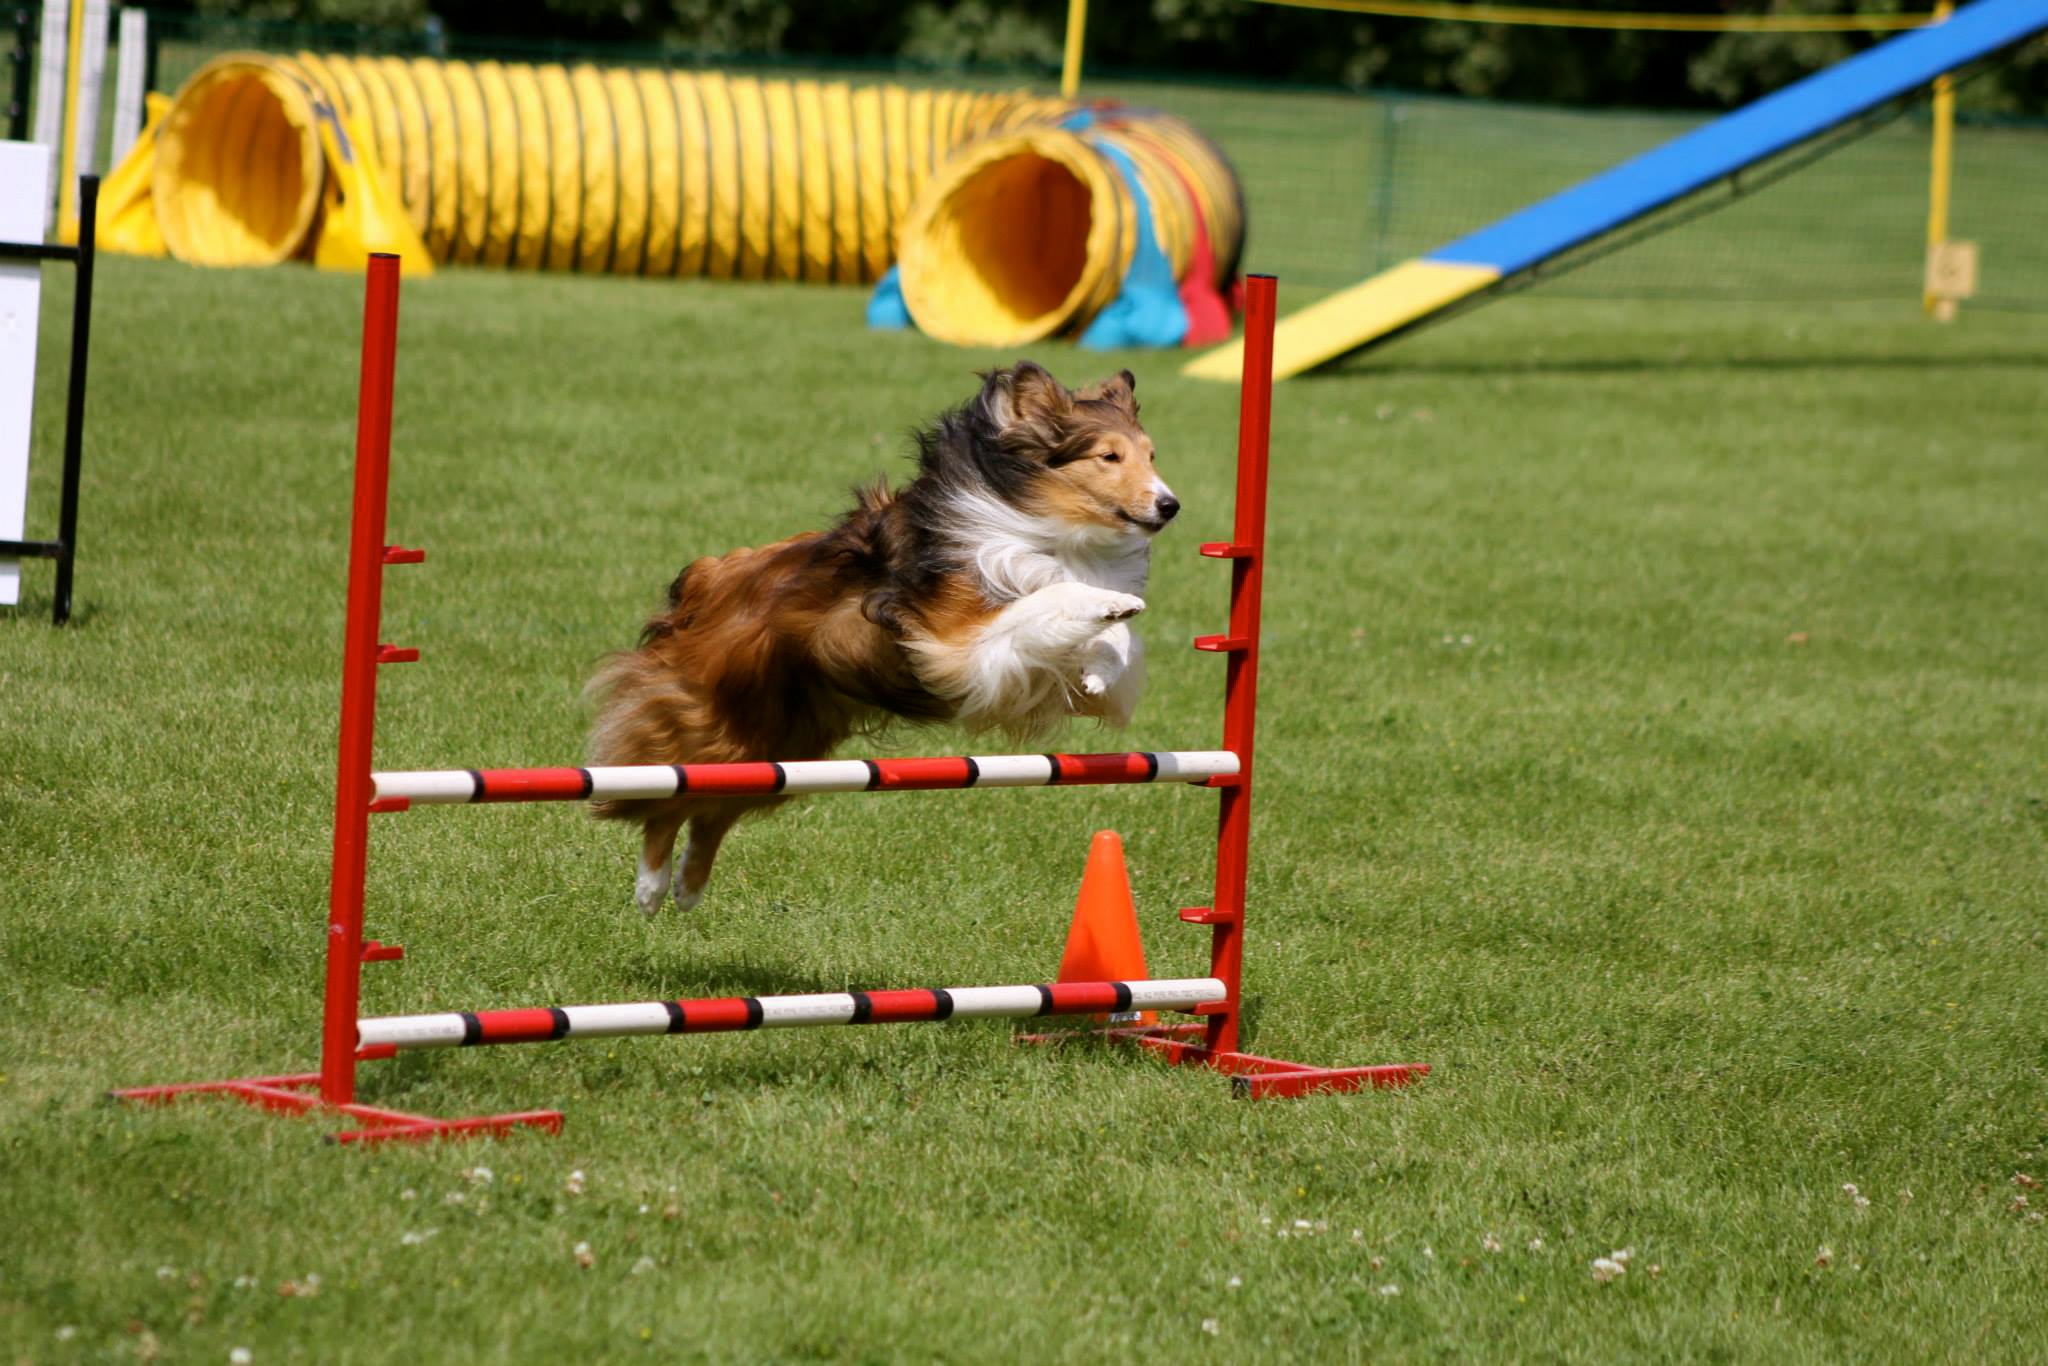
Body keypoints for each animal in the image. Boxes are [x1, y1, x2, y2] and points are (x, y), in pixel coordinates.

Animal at [585, 362, 1179, 917]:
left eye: (1152, 456)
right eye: (1109, 457)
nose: (1170, 505)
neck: (1046, 528)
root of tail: (708, 580)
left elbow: (1117, 644)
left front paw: (1101, 665)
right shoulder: (959, 641)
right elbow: (1053, 598)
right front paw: (1105, 608)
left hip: (777, 743)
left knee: (711, 807)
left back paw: (687, 886)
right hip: (714, 721)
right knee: (664, 795)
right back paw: (652, 887)